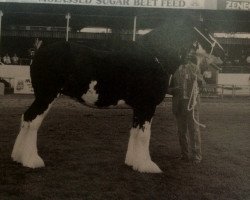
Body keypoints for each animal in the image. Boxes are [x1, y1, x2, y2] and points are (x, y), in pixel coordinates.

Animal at [10, 18, 225, 173]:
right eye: (206, 30)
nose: (224, 54)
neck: (155, 56)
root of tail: (39, 51)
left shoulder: (139, 108)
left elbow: (136, 132)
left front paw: (133, 163)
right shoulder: (147, 106)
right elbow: (144, 136)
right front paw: (148, 166)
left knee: (25, 118)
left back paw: (18, 158)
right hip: (46, 96)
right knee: (32, 121)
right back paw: (31, 161)